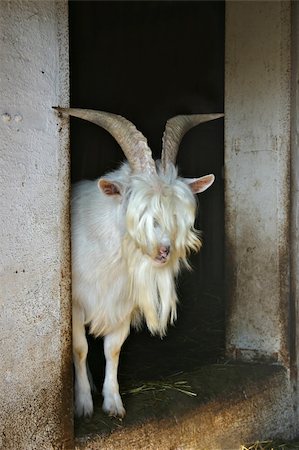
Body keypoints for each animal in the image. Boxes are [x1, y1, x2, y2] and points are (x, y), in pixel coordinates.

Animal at [54, 107, 223, 416]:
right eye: (134, 205)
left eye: (177, 213)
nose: (163, 250)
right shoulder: (75, 303)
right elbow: (79, 349)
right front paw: (82, 405)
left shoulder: (123, 303)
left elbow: (113, 349)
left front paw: (113, 402)